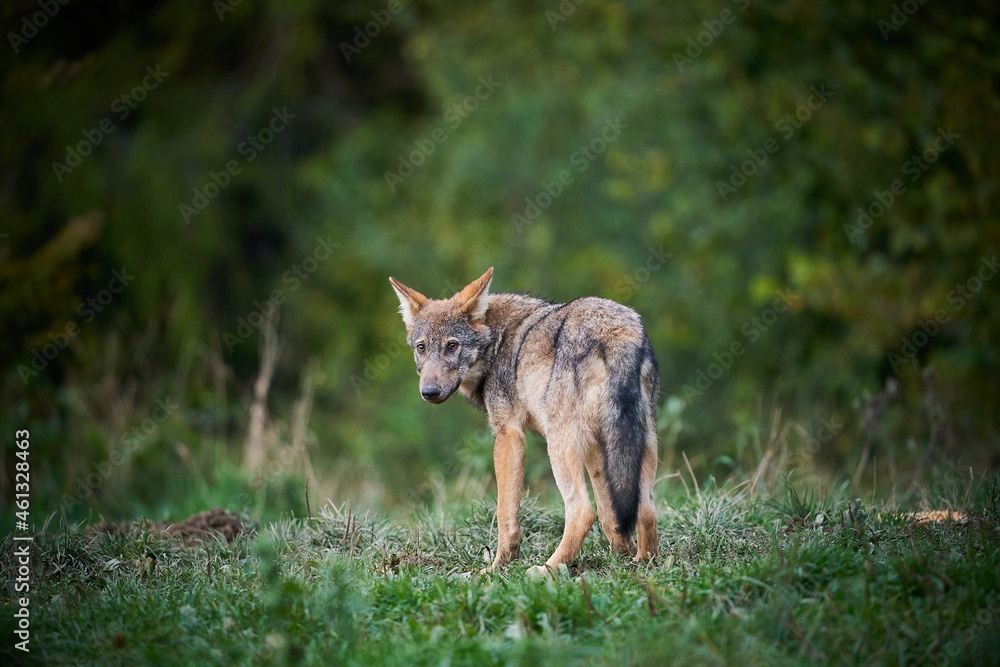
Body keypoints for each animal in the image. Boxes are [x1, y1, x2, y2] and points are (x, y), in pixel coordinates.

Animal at [386, 266, 660, 576]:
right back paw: (642, 562)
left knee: (581, 511)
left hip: (559, 446)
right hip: (638, 443)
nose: (429, 392)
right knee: (645, 509)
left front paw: (498, 566)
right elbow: (610, 512)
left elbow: (505, 510)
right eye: (421, 348)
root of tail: (616, 333)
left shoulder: (508, 434)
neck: (496, 342)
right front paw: (620, 556)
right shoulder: (594, 446)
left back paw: (546, 570)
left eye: (452, 345)